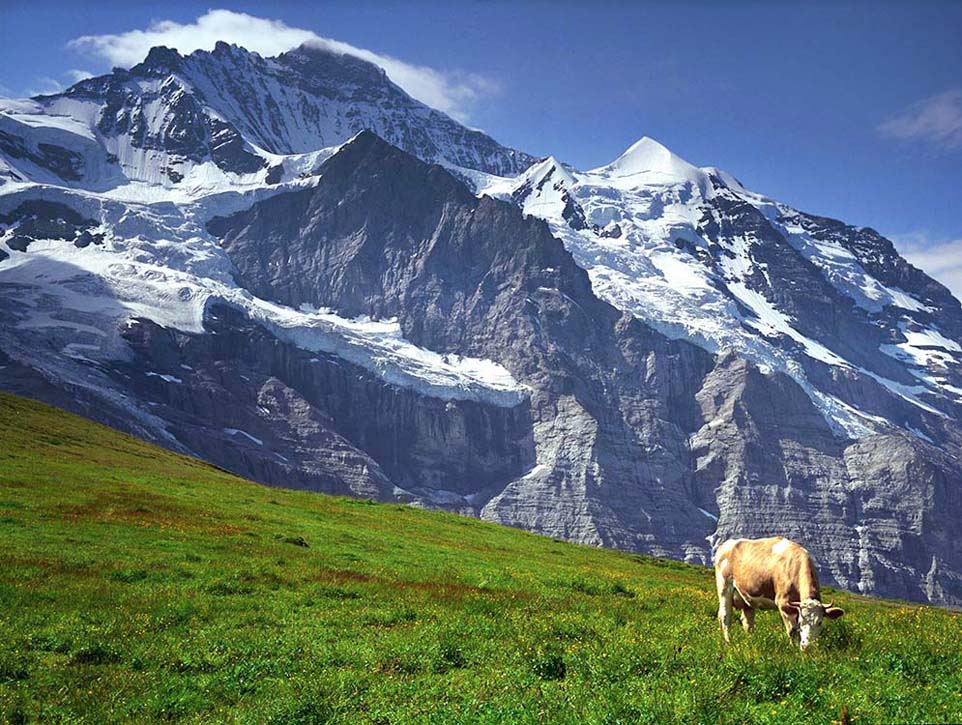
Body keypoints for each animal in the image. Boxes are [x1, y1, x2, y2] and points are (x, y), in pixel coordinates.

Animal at [708, 536, 844, 648]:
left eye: (820, 622)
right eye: (801, 622)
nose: (807, 647)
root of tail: (727, 544)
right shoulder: (784, 604)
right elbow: (792, 631)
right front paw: (794, 650)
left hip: (746, 597)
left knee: (747, 622)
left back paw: (750, 641)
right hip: (724, 589)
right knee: (725, 617)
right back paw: (729, 642)